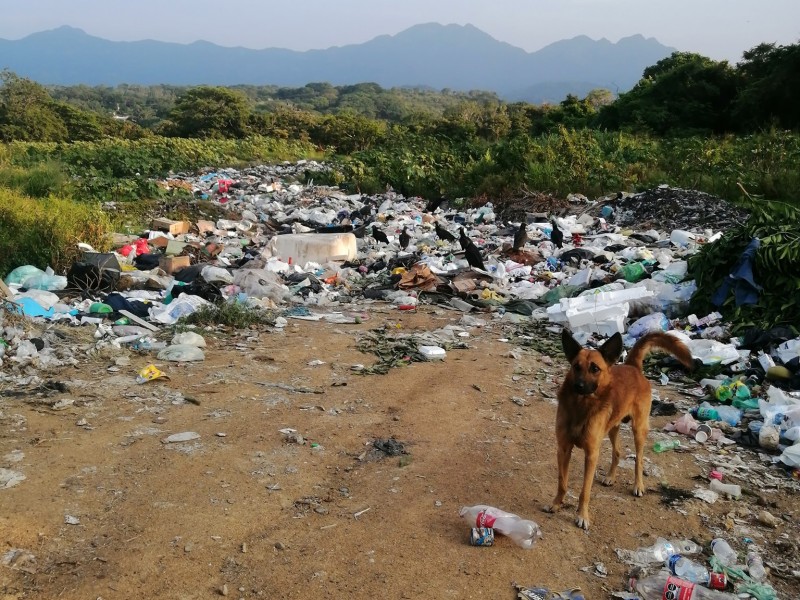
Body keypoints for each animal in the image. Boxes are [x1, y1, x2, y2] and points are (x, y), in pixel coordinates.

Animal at [544, 328, 692, 528]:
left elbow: (585, 490)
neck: (581, 406)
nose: (578, 386)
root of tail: (632, 366)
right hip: (613, 426)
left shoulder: (591, 454)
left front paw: (582, 516)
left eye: (595, 368)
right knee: (618, 451)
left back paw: (638, 485)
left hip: (639, 429)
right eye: (576, 366)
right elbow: (562, 482)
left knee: (639, 459)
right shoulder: (563, 449)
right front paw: (556, 504)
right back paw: (610, 476)